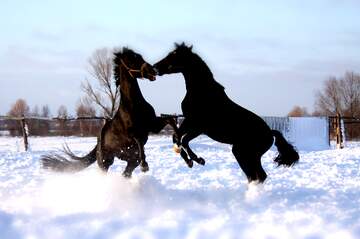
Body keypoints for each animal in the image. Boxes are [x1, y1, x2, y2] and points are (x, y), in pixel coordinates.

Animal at [42, 47, 179, 177]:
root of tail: (97, 143)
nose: (152, 71)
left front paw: (178, 140)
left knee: (126, 173)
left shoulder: (152, 126)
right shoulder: (132, 134)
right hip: (105, 162)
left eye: (140, 57)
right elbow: (139, 140)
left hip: (130, 161)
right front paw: (145, 166)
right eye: (132, 60)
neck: (134, 105)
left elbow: (170, 120)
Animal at [153, 43, 300, 183]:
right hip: (243, 153)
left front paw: (198, 160)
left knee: (258, 175)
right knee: (255, 176)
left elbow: (183, 140)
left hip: (246, 153)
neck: (201, 92)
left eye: (174, 55)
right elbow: (176, 137)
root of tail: (270, 133)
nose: (155, 67)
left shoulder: (198, 126)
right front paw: (190, 160)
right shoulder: (189, 122)